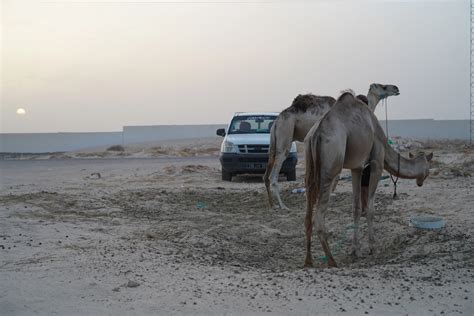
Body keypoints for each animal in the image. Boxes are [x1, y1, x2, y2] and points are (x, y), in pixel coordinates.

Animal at [264, 83, 398, 210]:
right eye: (383, 86)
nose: (396, 88)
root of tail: (276, 121)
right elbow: (336, 173)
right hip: (286, 132)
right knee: (273, 174)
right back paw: (282, 205)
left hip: (276, 140)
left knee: (267, 172)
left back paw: (272, 204)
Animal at [304, 92, 434, 268]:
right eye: (428, 169)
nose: (420, 182)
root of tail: (316, 134)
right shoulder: (377, 162)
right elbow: (370, 209)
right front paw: (372, 247)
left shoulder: (357, 168)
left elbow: (356, 208)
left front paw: (355, 250)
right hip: (330, 167)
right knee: (319, 216)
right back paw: (332, 261)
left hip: (309, 164)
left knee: (307, 214)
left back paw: (308, 261)